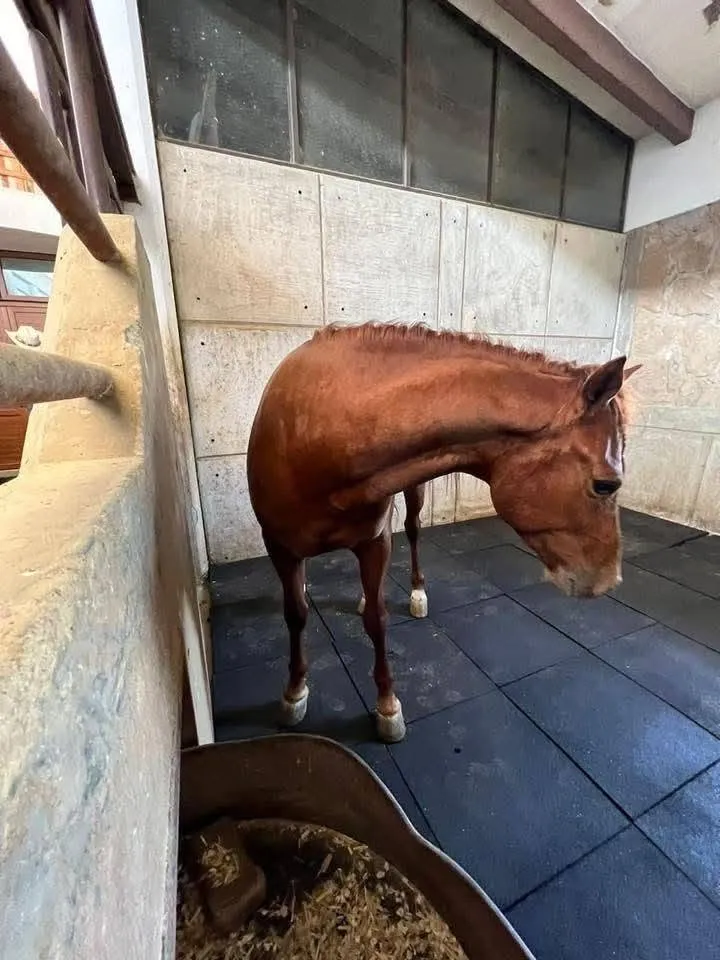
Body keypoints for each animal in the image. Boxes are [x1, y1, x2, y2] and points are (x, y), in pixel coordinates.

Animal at [247, 323, 639, 742]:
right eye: (605, 485)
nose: (608, 581)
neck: (319, 435)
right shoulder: (279, 547)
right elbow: (296, 615)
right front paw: (293, 694)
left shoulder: (374, 542)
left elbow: (377, 619)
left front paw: (387, 707)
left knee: (413, 531)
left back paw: (414, 592)